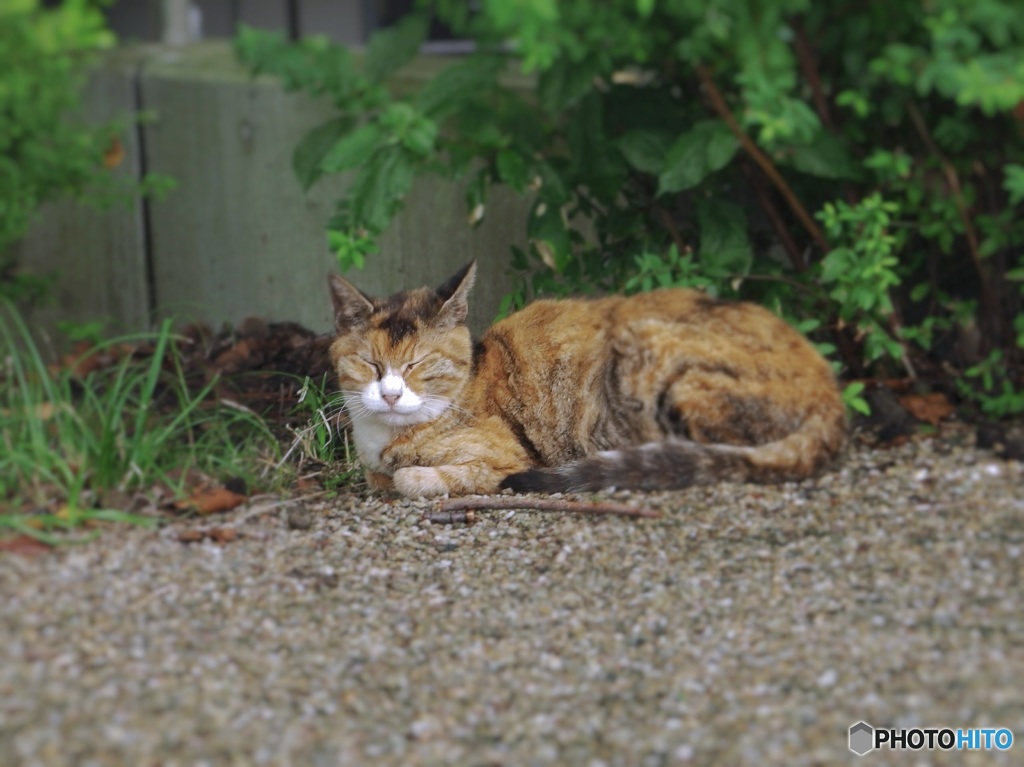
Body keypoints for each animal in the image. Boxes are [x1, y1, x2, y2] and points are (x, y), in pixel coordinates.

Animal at [329, 262, 847, 497]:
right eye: (370, 364)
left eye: (418, 365)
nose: (391, 394)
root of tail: (830, 393)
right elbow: (377, 475)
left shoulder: (502, 460)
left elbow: (410, 478)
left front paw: (412, 475)